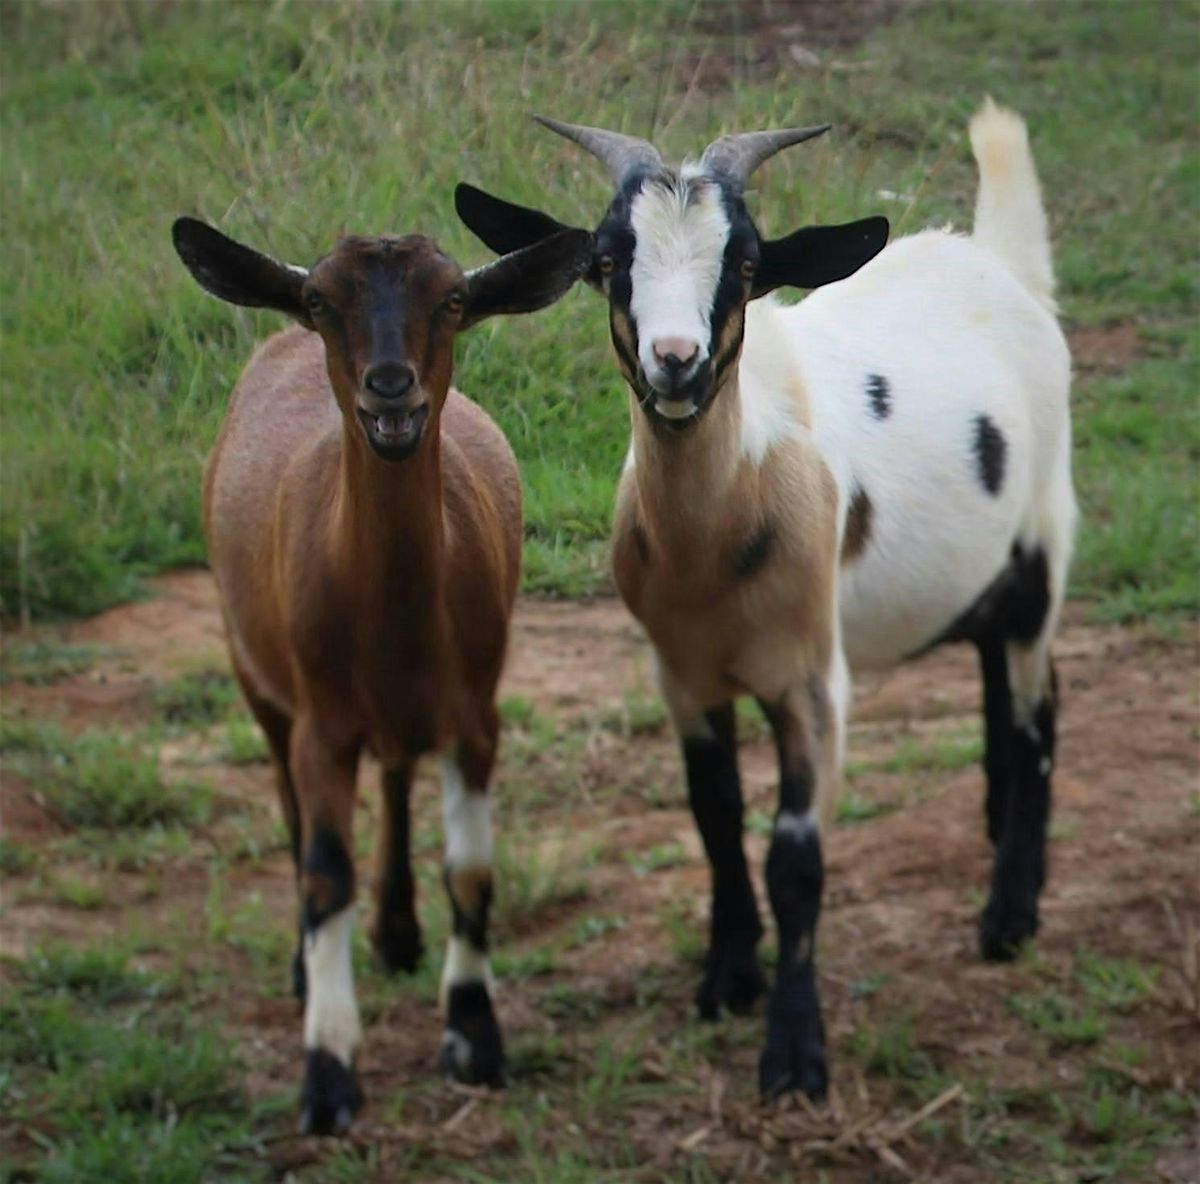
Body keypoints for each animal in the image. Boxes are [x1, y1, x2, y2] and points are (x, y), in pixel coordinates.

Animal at [171, 216, 591, 1133]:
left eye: (456, 299)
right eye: (321, 301)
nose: (390, 390)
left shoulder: (476, 717)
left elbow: (470, 869)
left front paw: (474, 1037)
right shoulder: (321, 724)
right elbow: (325, 876)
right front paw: (329, 1075)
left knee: (396, 773)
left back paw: (399, 932)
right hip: (255, 673)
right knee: (292, 809)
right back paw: (309, 967)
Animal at [454, 100, 1075, 1100]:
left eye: (745, 265)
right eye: (606, 260)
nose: (676, 363)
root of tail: (997, 260)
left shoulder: (811, 683)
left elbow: (795, 859)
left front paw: (793, 1055)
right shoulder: (683, 675)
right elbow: (713, 819)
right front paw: (727, 979)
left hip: (1043, 538)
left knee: (1036, 705)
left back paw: (1010, 914)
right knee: (1000, 668)